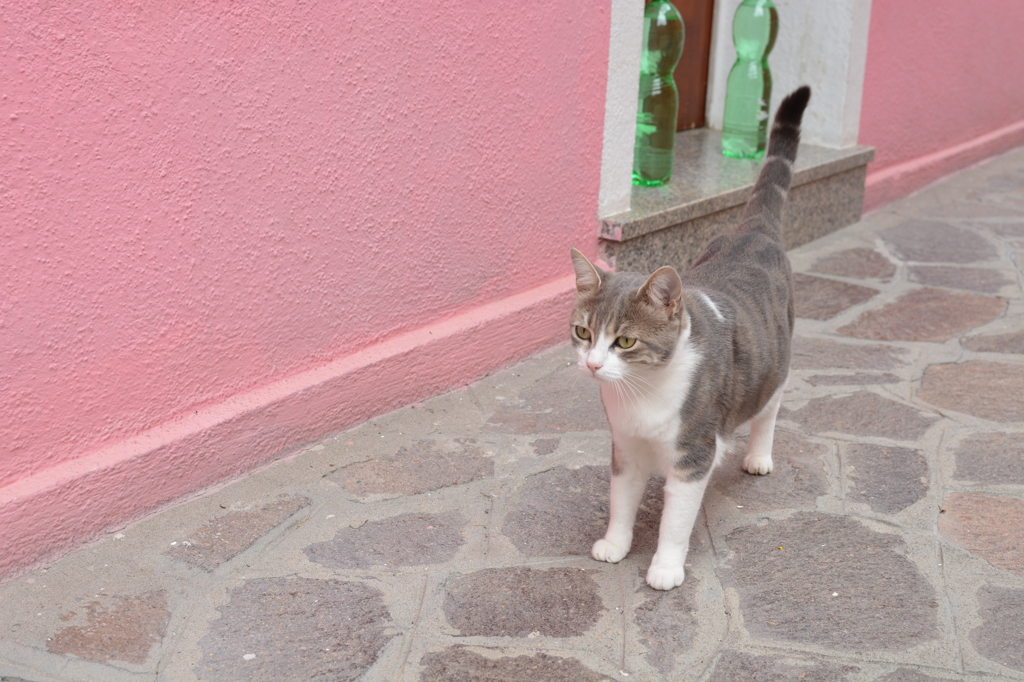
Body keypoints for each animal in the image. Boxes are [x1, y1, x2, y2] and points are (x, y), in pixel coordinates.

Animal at [569, 86, 806, 589]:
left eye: (625, 342)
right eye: (583, 332)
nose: (593, 364)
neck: (642, 393)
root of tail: (752, 232)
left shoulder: (693, 456)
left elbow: (675, 521)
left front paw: (665, 567)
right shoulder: (625, 447)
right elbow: (621, 501)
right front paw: (616, 544)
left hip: (776, 366)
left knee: (769, 408)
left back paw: (759, 454)